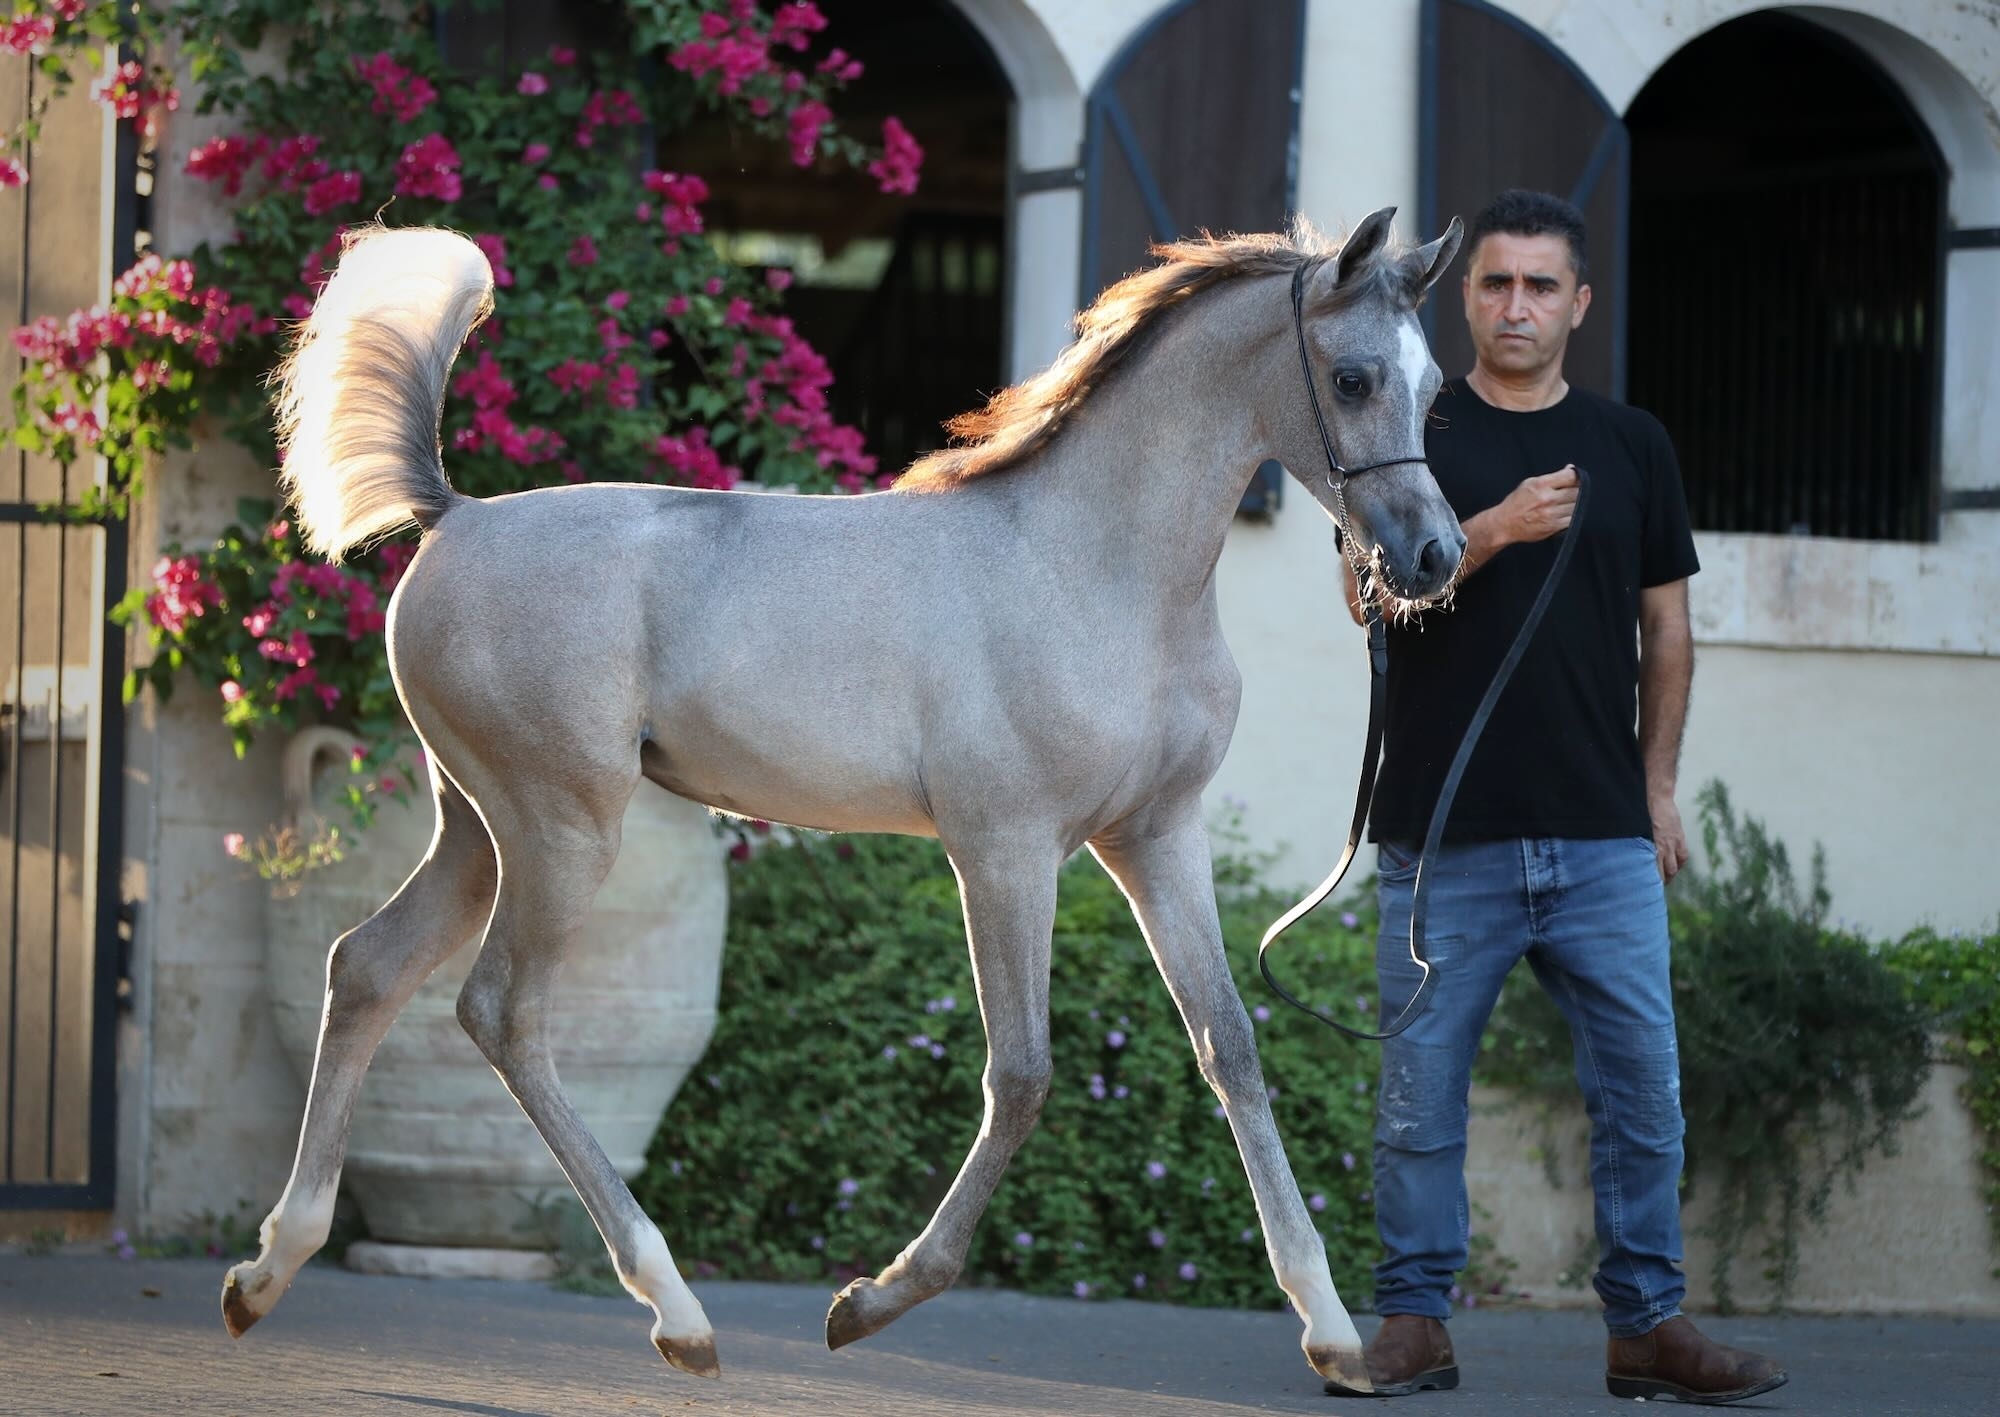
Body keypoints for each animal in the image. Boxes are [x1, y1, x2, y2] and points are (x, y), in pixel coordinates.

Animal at [219, 206, 1466, 1394]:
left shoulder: (1154, 839)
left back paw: (266, 1269)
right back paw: (676, 1313)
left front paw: (1333, 1334)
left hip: (477, 833)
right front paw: (870, 1300)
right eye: (1353, 378)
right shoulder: (1003, 848)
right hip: (560, 829)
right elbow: (1021, 1073)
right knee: (502, 1013)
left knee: (366, 967)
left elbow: (1230, 1049)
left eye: (1435, 386)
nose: (1431, 556)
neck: (1089, 569)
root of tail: (455, 512)